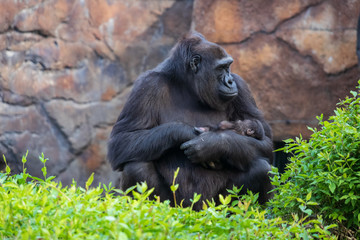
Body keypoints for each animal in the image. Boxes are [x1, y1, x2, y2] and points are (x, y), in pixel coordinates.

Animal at [107, 31, 272, 208]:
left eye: (228, 67)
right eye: (221, 68)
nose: (230, 81)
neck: (188, 86)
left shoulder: (241, 87)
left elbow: (266, 143)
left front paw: (214, 144)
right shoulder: (147, 85)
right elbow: (122, 139)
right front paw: (184, 133)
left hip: (215, 207)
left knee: (262, 168)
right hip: (176, 206)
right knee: (136, 166)